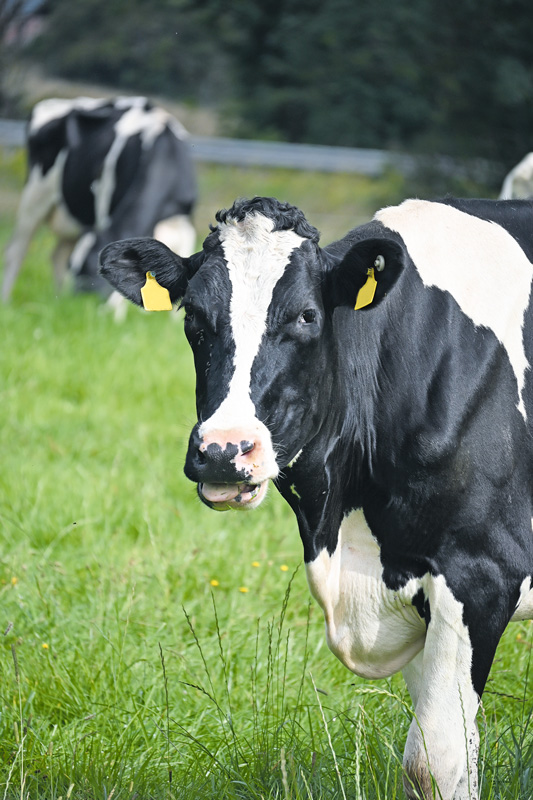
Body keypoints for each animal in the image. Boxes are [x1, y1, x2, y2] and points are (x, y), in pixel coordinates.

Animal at [1, 94, 196, 306]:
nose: (81, 307)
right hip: (34, 196)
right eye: (77, 269)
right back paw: (8, 301)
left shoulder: (185, 227)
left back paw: (57, 300)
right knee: (16, 251)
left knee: (57, 255)